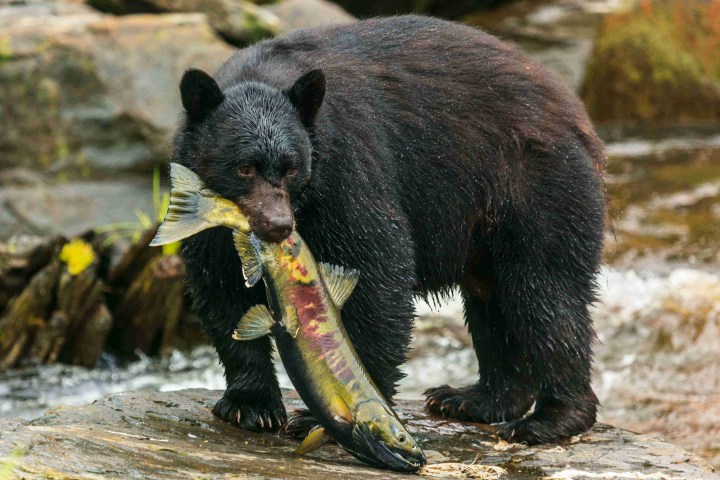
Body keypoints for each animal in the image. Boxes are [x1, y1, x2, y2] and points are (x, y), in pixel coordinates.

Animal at [173, 15, 600, 446]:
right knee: (491, 302)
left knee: (545, 293)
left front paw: (340, 409)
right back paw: (475, 399)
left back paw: (550, 418)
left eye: (292, 168)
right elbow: (221, 286)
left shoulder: (345, 166)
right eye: (244, 168)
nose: (278, 226)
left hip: (535, 187)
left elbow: (378, 268)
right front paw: (251, 406)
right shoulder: (201, 201)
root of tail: (574, 108)